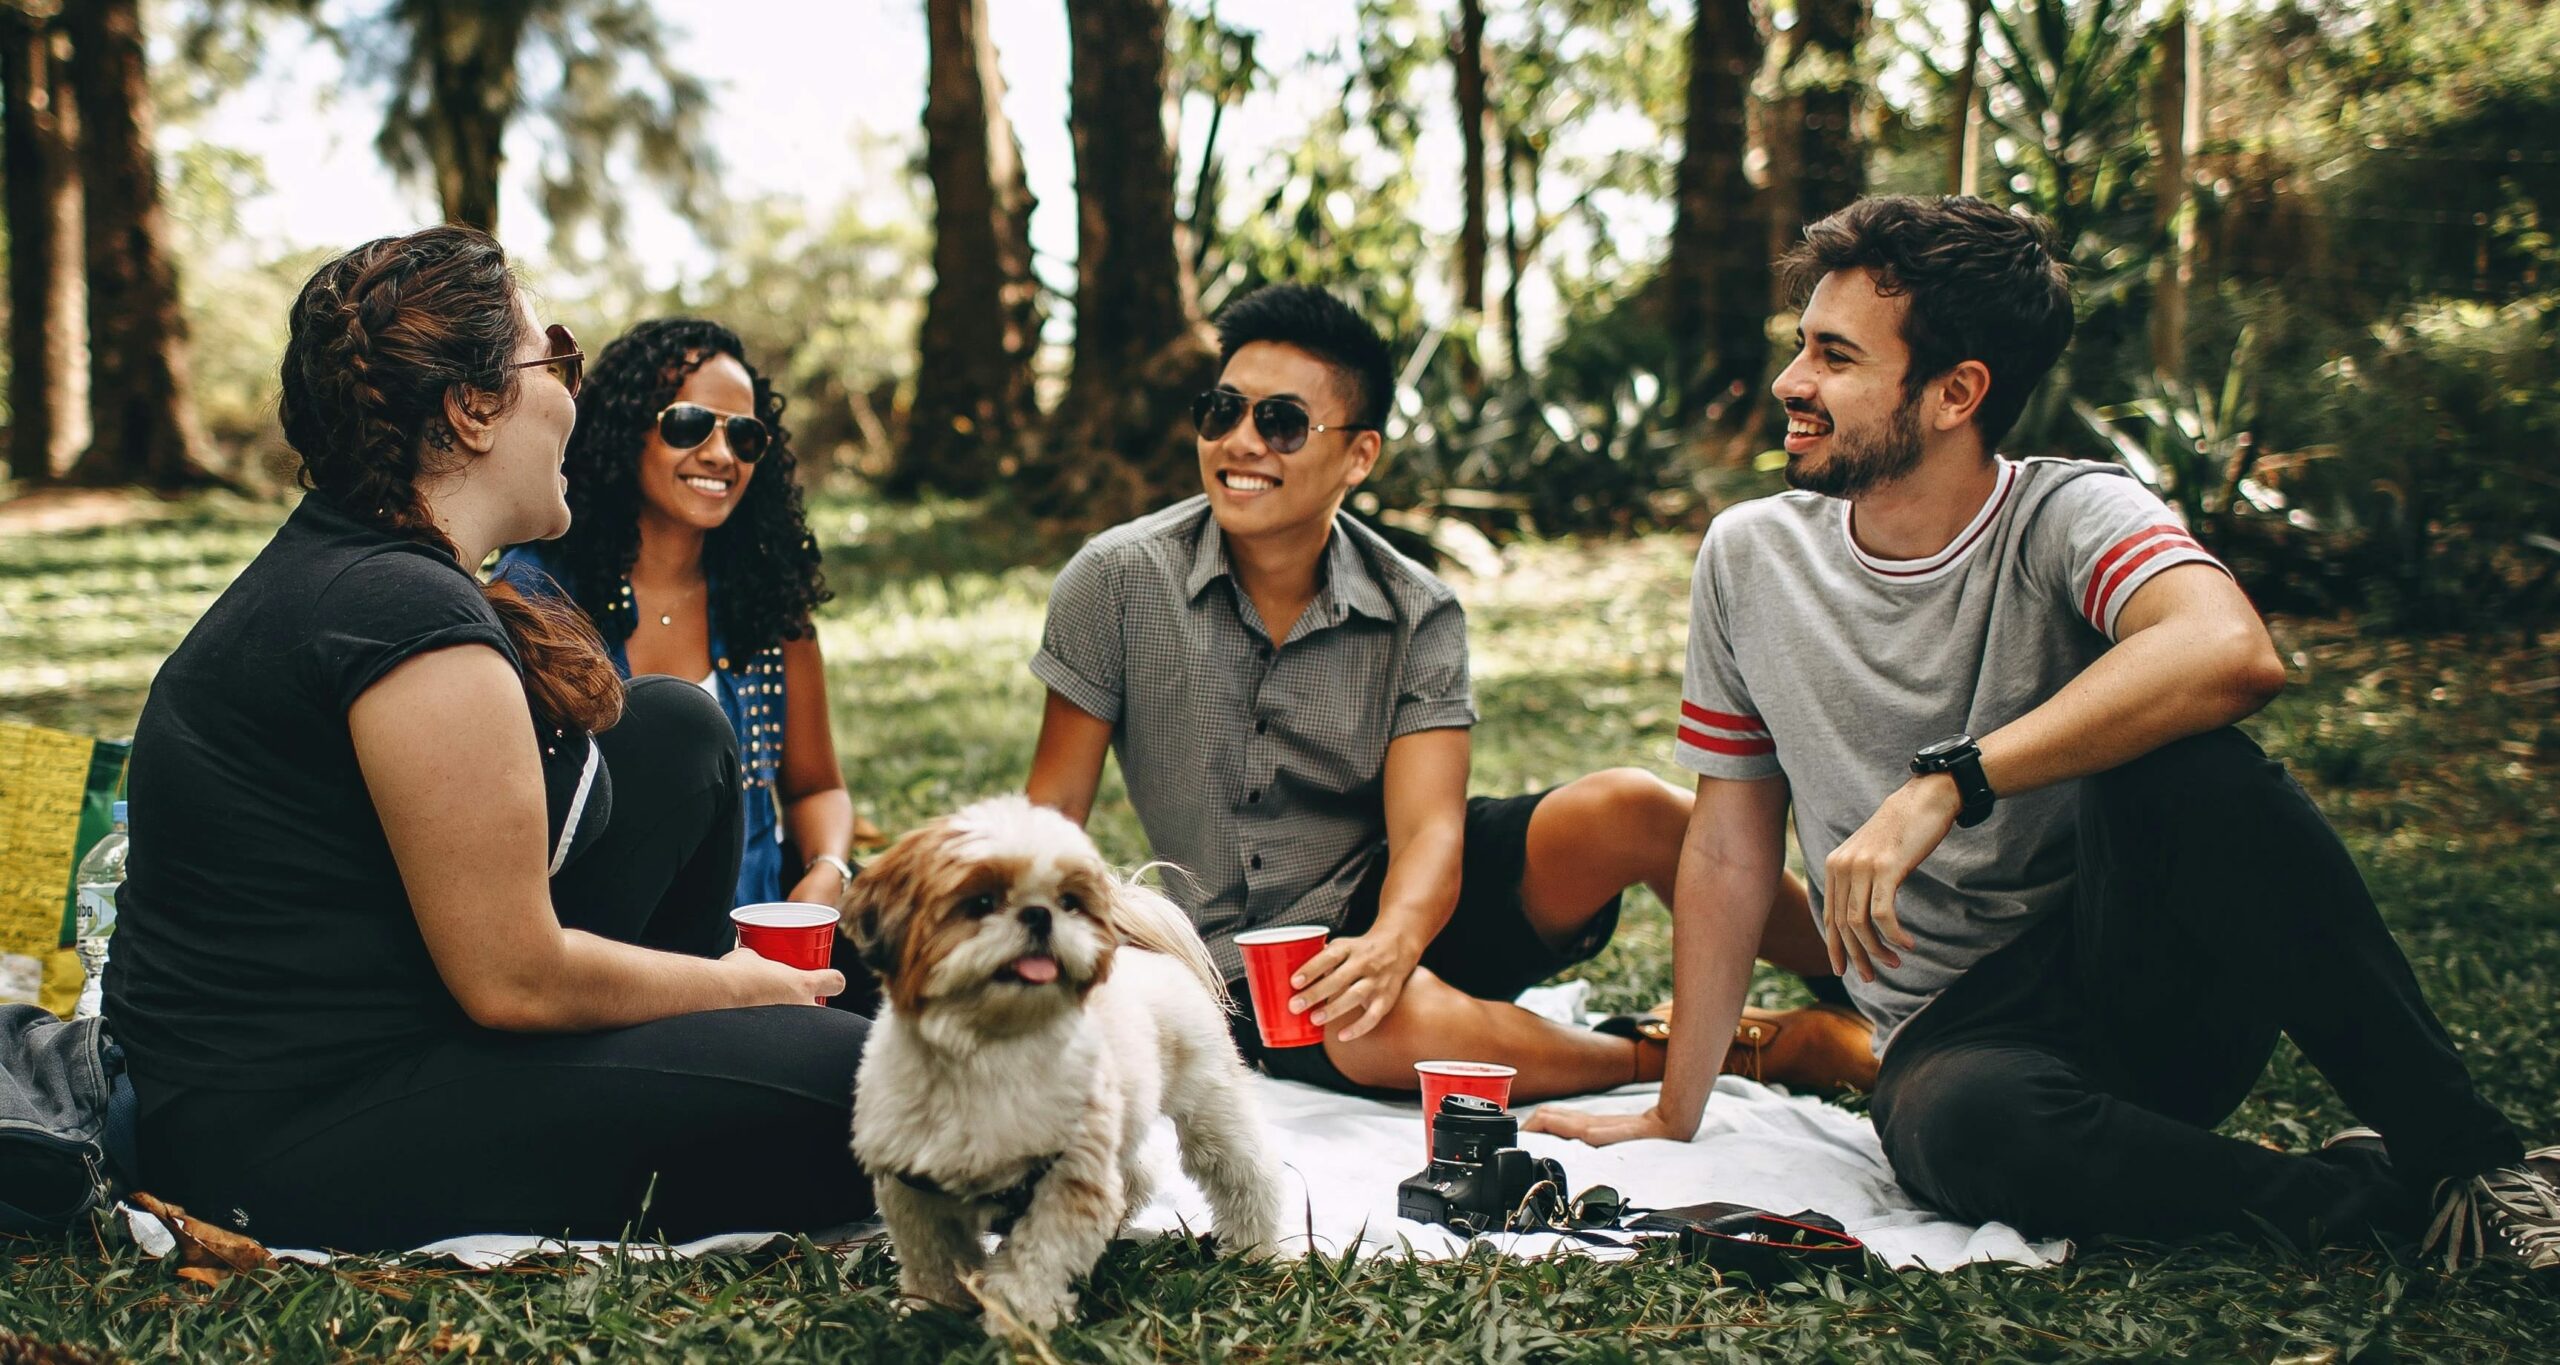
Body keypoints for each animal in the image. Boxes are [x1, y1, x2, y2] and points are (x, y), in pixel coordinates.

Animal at [849, 793, 1280, 1331]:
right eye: (981, 902)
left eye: (1069, 902)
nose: (1039, 914)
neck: (990, 1050)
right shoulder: (913, 1186)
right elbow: (932, 1256)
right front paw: (931, 1309)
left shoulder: (1067, 1179)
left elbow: (1037, 1259)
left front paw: (1021, 1319)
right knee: (1136, 1175)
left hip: (1209, 1105)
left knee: (1244, 1174)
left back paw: (1254, 1248)